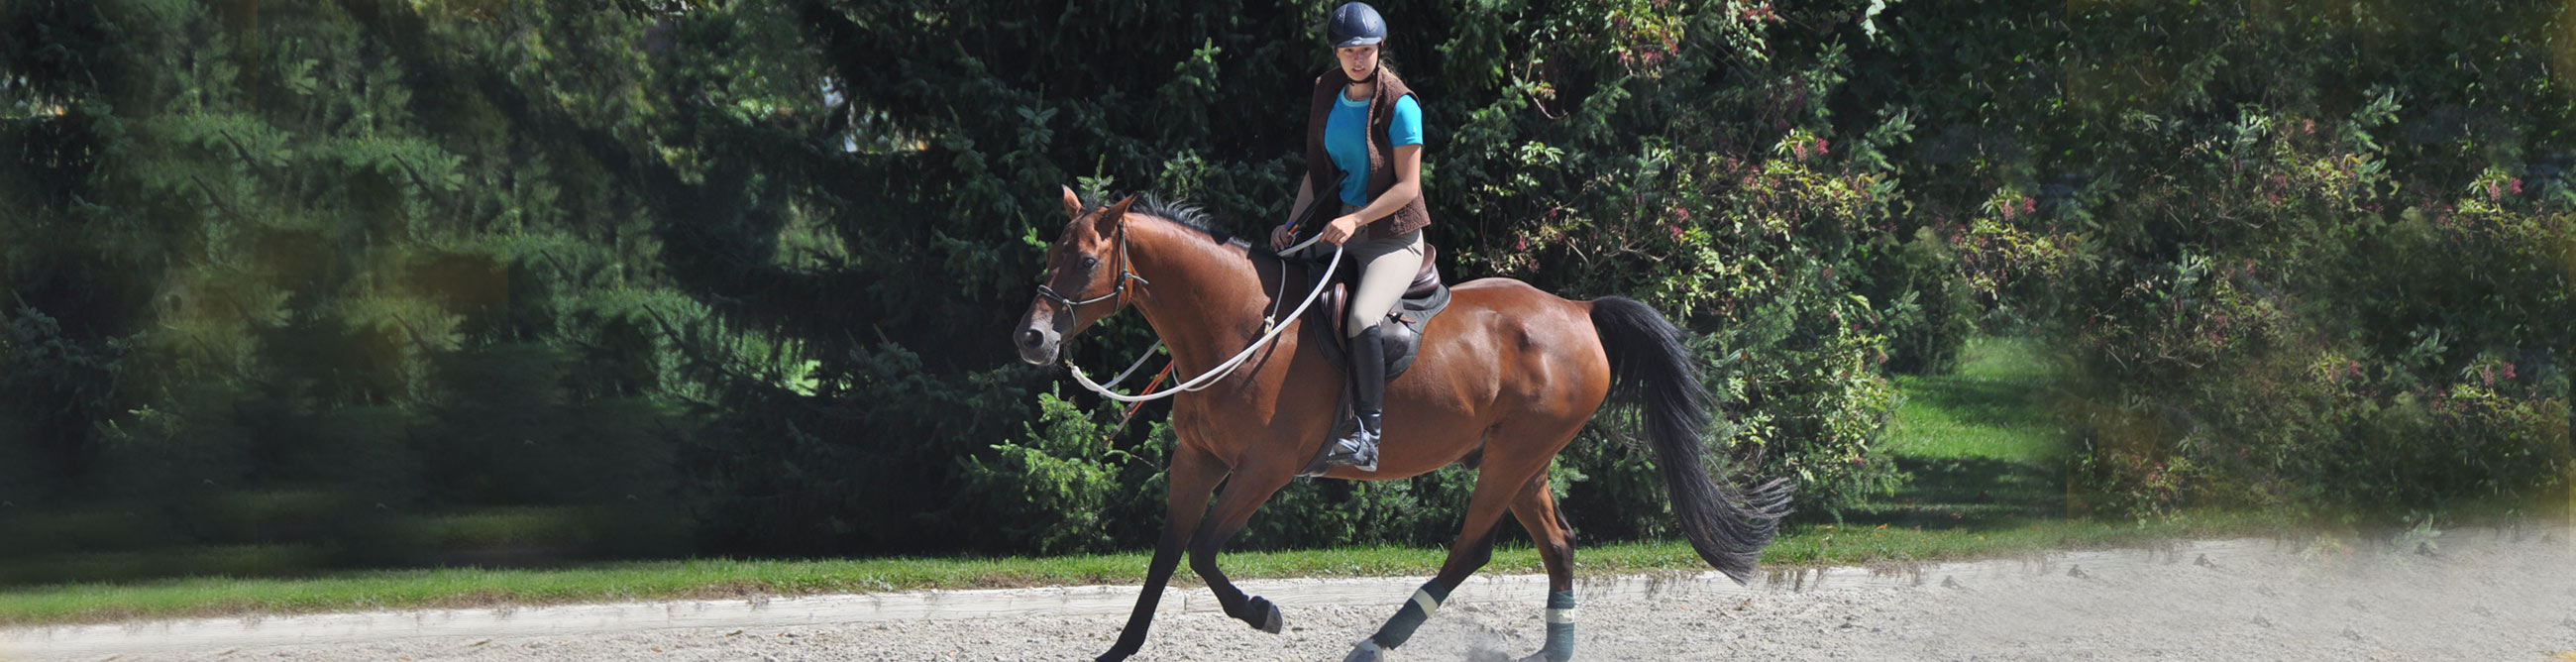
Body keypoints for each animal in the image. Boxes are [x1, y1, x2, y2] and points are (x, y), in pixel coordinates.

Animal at [1013, 187, 1792, 662]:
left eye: (1087, 260)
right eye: (1050, 254)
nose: (1032, 339)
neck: (1237, 326)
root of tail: (1578, 311)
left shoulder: (1265, 468)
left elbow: (1203, 552)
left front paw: (1265, 613)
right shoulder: (1197, 460)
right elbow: (1166, 554)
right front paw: (1119, 649)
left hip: (1514, 455)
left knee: (1472, 549)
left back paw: (1377, 642)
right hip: (1524, 458)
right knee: (1558, 544)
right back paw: (1551, 649)